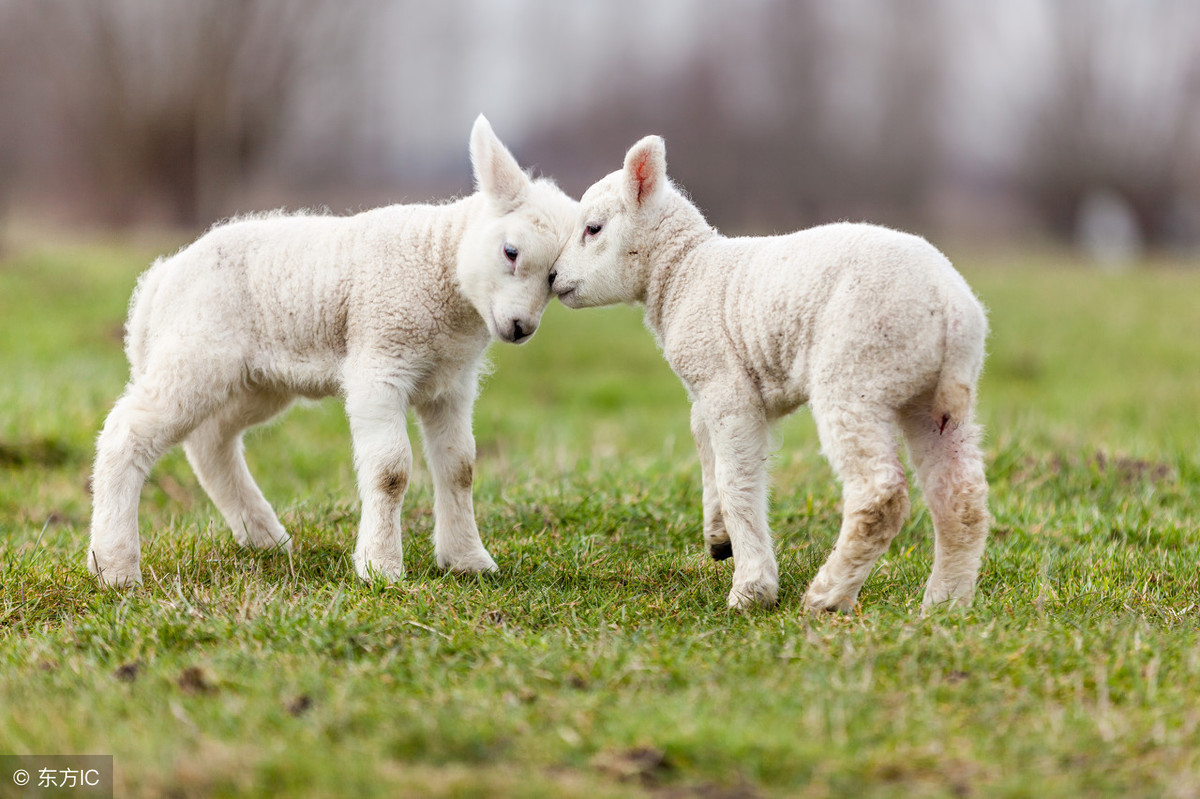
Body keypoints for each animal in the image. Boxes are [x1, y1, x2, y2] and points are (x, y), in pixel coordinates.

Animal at [88, 115, 576, 585]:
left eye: (554, 279)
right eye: (510, 252)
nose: (520, 328)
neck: (439, 263)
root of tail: (160, 280)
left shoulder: (450, 384)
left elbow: (460, 468)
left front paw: (467, 561)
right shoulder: (380, 361)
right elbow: (391, 471)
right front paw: (381, 568)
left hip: (256, 381)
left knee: (211, 442)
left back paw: (266, 539)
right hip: (195, 352)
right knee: (127, 432)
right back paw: (115, 567)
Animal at [549, 136, 988, 609]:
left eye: (593, 228)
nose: (552, 277)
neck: (684, 272)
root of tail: (950, 305)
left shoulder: (725, 385)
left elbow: (736, 479)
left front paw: (751, 588)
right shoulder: (724, 385)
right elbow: (704, 443)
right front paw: (718, 537)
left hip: (857, 373)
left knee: (879, 495)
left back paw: (827, 596)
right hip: (931, 397)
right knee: (961, 498)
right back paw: (944, 605)